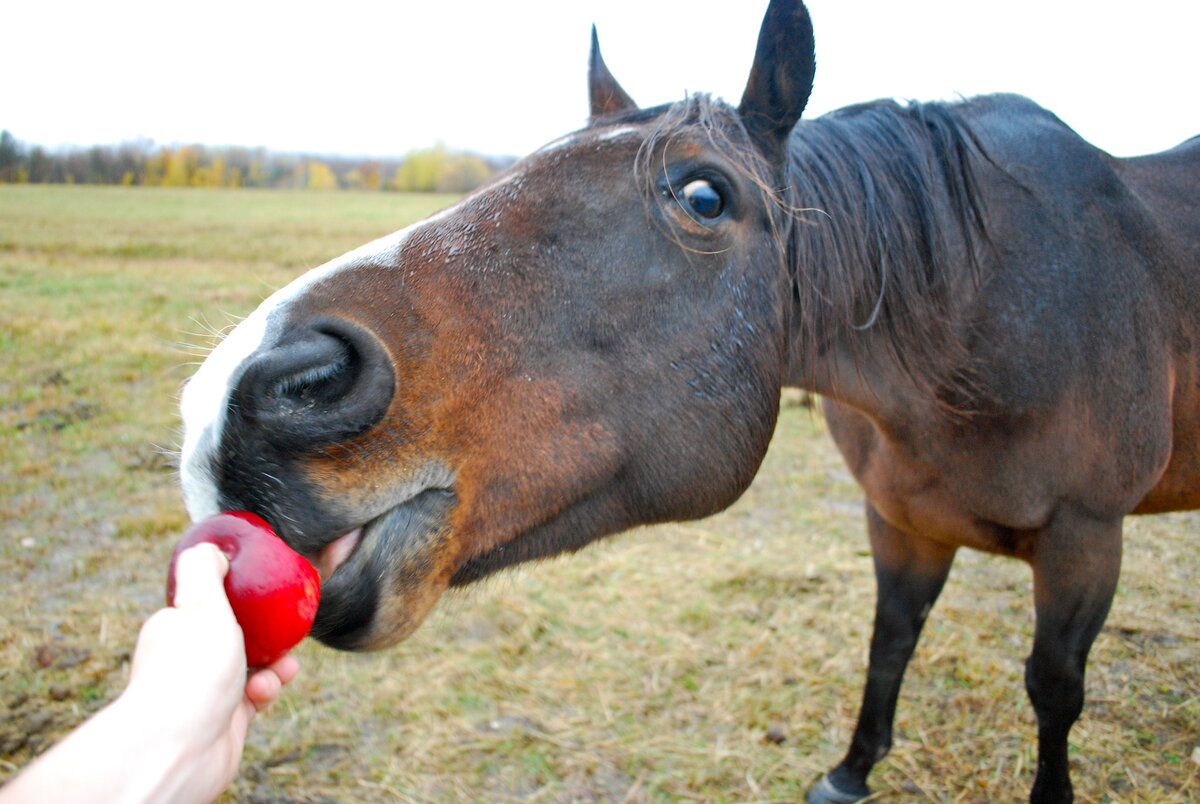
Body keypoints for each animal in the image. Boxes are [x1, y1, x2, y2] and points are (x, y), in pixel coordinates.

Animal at [177, 1, 1200, 801]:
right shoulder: (899, 517)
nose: (246, 396)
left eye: (705, 196)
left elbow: (1054, 689)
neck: (985, 319)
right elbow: (891, 640)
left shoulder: (1085, 537)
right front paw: (850, 773)